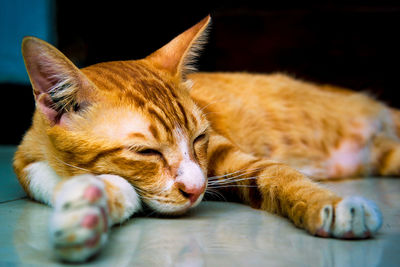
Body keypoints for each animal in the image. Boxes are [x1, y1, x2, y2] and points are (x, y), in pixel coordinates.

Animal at [12, 14, 390, 262]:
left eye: (199, 138)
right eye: (146, 152)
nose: (196, 191)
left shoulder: (222, 157)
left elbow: (276, 173)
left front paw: (330, 204)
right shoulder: (27, 161)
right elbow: (54, 180)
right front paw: (90, 206)